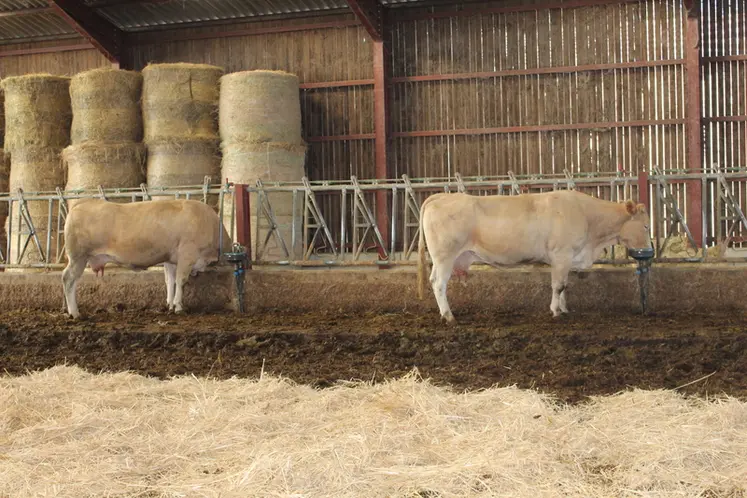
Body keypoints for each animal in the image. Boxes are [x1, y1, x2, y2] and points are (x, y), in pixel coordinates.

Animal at [61, 198, 232, 319]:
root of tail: (83, 202)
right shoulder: (187, 255)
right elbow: (181, 280)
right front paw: (178, 307)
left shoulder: (170, 259)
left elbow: (170, 280)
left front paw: (169, 304)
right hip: (78, 257)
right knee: (68, 278)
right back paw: (75, 313)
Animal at [417, 189, 652, 323]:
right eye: (646, 226)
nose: (650, 251)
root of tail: (442, 196)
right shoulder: (561, 254)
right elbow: (558, 286)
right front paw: (555, 311)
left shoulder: (565, 260)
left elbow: (564, 285)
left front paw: (564, 309)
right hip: (444, 256)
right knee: (438, 283)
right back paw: (449, 316)